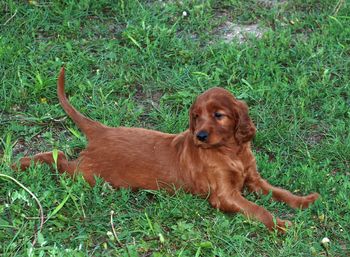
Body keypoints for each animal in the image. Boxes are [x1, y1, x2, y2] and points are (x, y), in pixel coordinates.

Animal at [14, 67, 320, 231]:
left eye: (218, 115)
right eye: (196, 116)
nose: (200, 135)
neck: (231, 151)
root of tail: (101, 129)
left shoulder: (253, 180)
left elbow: (279, 192)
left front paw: (304, 201)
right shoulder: (224, 195)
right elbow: (258, 210)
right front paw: (281, 225)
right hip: (87, 174)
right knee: (58, 158)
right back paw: (21, 163)